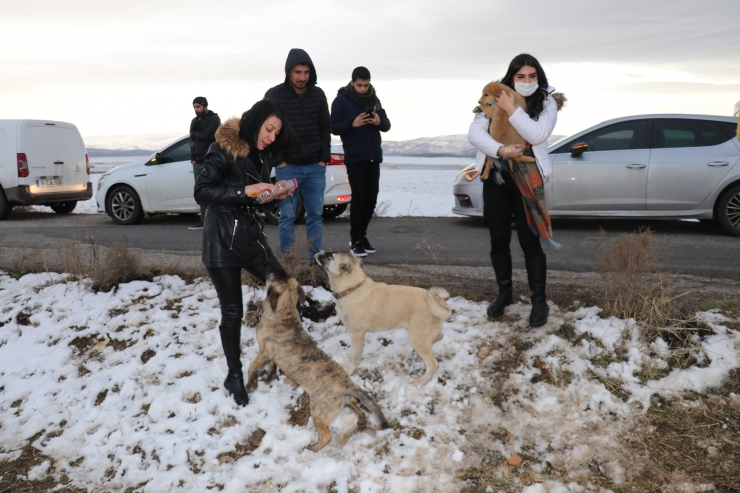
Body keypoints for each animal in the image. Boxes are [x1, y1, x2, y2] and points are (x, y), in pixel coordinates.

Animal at [247, 268, 390, 452]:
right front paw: (269, 377)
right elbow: (272, 366)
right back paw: (361, 421)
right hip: (344, 402)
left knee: (327, 436)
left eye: (275, 278)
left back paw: (313, 447)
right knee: (358, 408)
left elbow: (251, 366)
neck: (285, 313)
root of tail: (347, 385)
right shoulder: (270, 355)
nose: (272, 270)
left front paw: (251, 385)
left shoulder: (263, 352)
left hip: (318, 411)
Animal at [314, 252, 450, 386]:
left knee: (433, 364)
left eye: (331, 256)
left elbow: (354, 356)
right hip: (422, 335)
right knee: (439, 336)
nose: (318, 252)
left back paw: (420, 382)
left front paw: (349, 371)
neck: (352, 288)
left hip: (416, 337)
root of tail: (439, 301)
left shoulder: (357, 334)